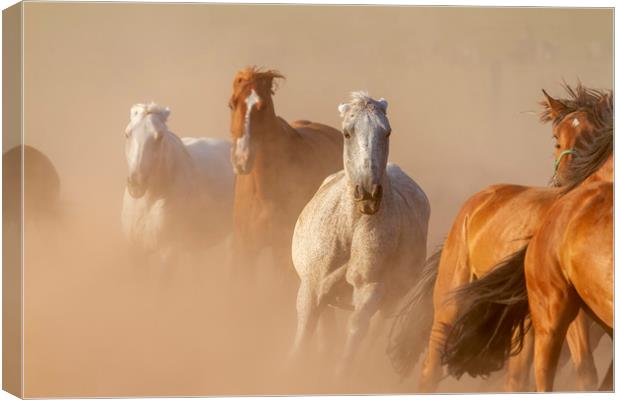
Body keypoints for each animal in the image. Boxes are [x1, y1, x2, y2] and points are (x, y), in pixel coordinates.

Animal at [292, 92, 432, 374]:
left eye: (387, 132)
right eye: (347, 133)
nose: (368, 192)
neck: (350, 230)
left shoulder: (370, 289)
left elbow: (356, 334)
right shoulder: (311, 287)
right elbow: (304, 336)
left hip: (391, 300)